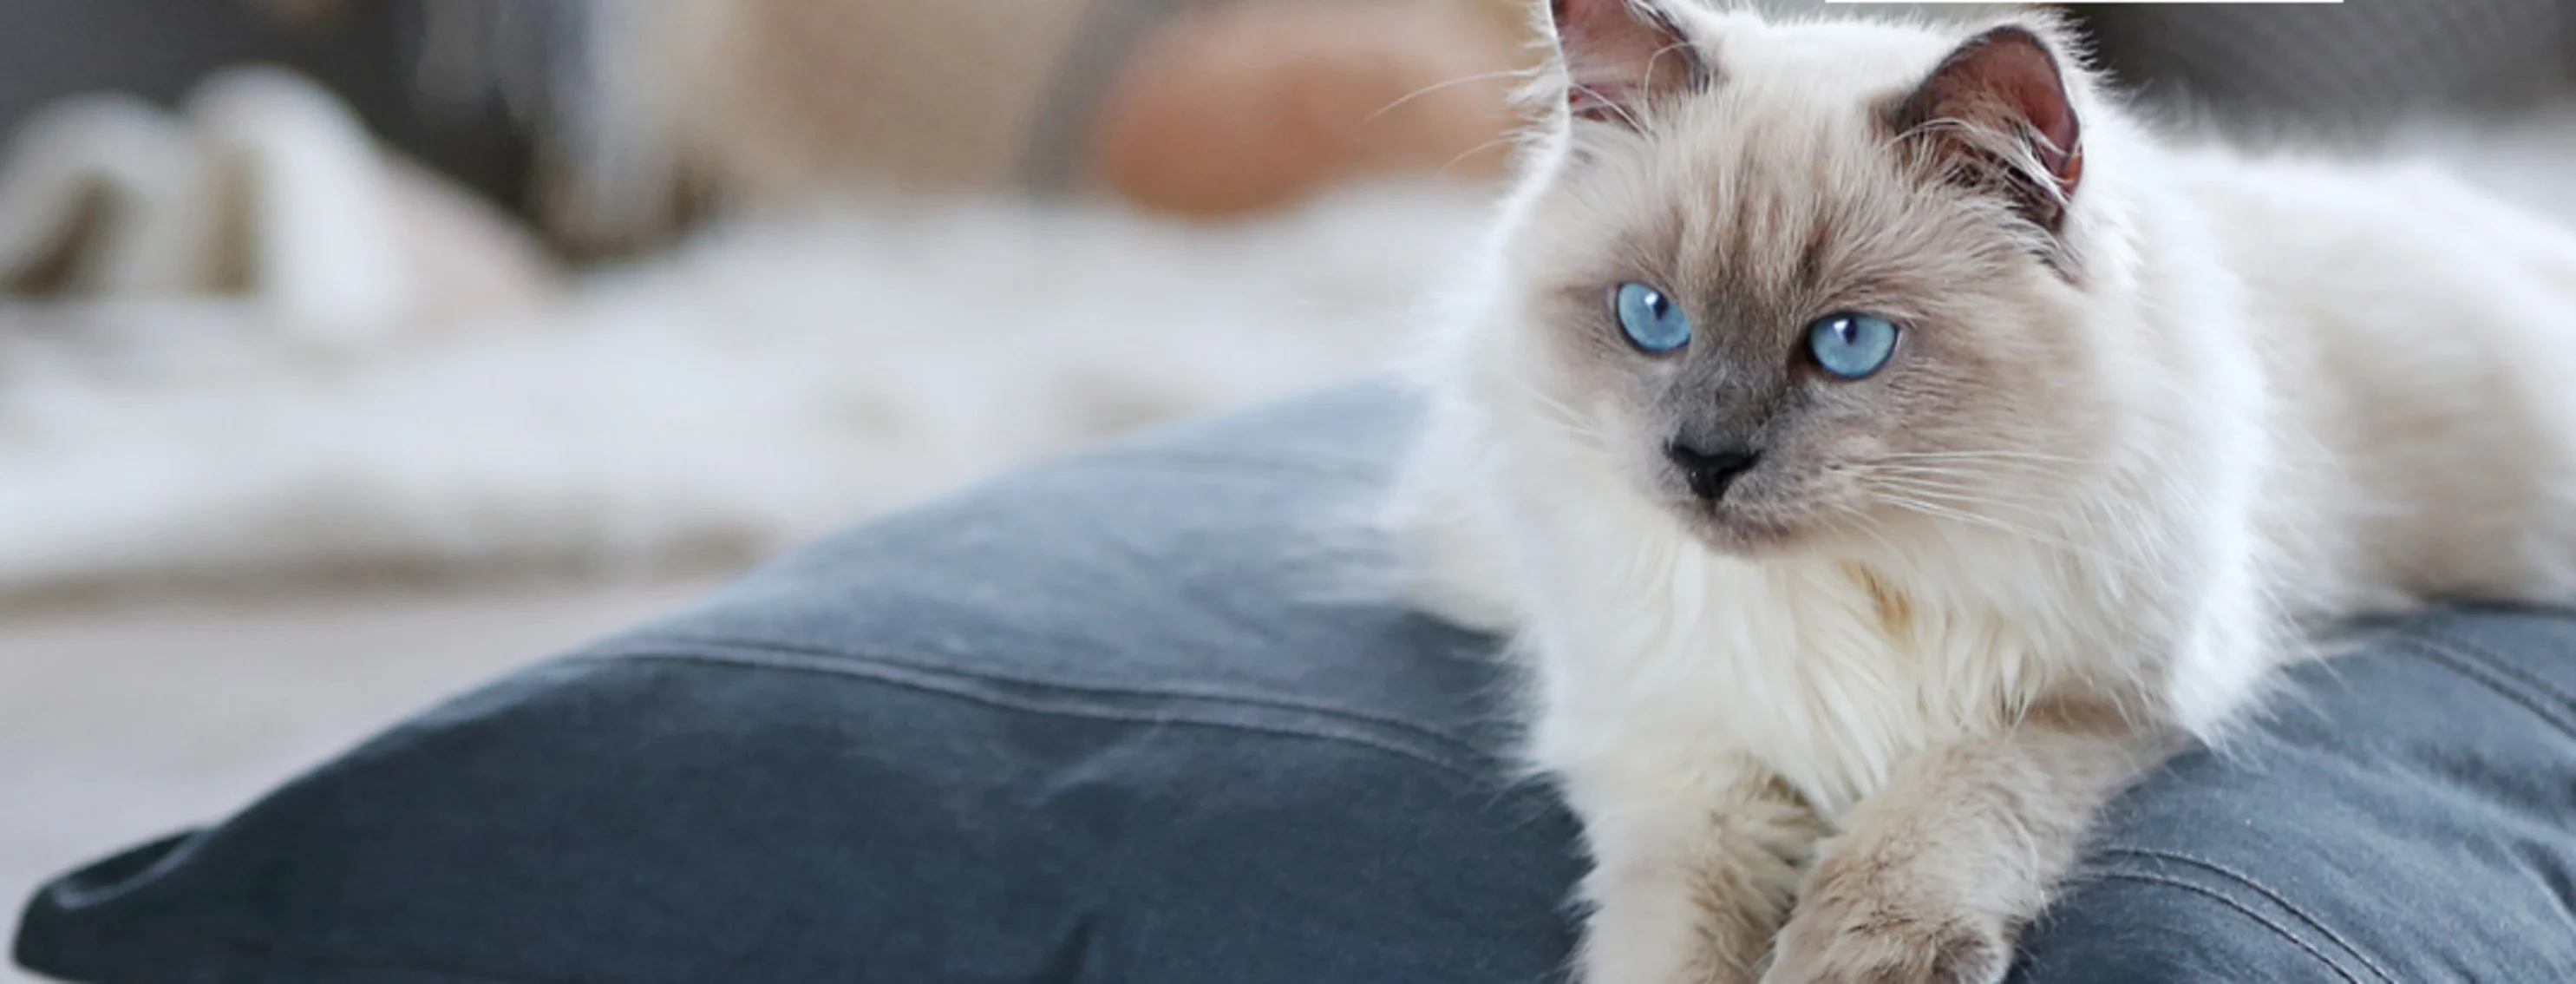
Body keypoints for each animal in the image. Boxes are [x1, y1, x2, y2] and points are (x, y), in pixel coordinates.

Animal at [1401, 2, 2576, 984]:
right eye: (1651, 317)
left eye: (1850, 342)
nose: (1705, 459)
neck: (1849, 582)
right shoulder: (1680, 757)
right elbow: (1670, 938)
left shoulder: (2082, 706)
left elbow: (1931, 814)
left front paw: (1857, 962)